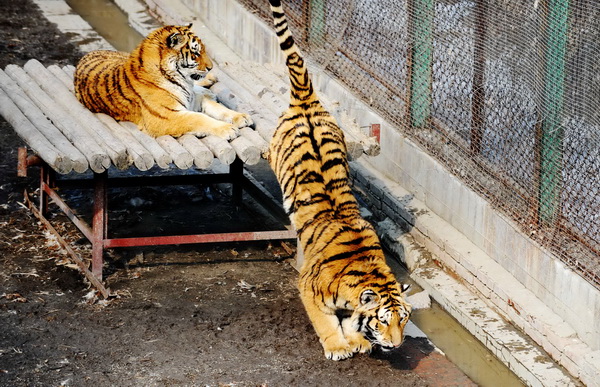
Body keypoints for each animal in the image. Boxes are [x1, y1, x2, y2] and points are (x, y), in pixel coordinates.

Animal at [72, 23, 251, 139]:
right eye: (195, 54)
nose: (210, 67)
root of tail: (89, 53)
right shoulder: (166, 116)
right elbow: (199, 119)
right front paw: (228, 129)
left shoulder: (193, 100)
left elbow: (218, 108)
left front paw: (242, 117)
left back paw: (209, 82)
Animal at [268, 0, 412, 362]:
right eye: (384, 321)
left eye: (403, 319)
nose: (396, 344)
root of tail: (307, 101)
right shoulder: (309, 288)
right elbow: (326, 322)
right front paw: (337, 346)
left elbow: (349, 319)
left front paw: (357, 339)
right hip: (275, 150)